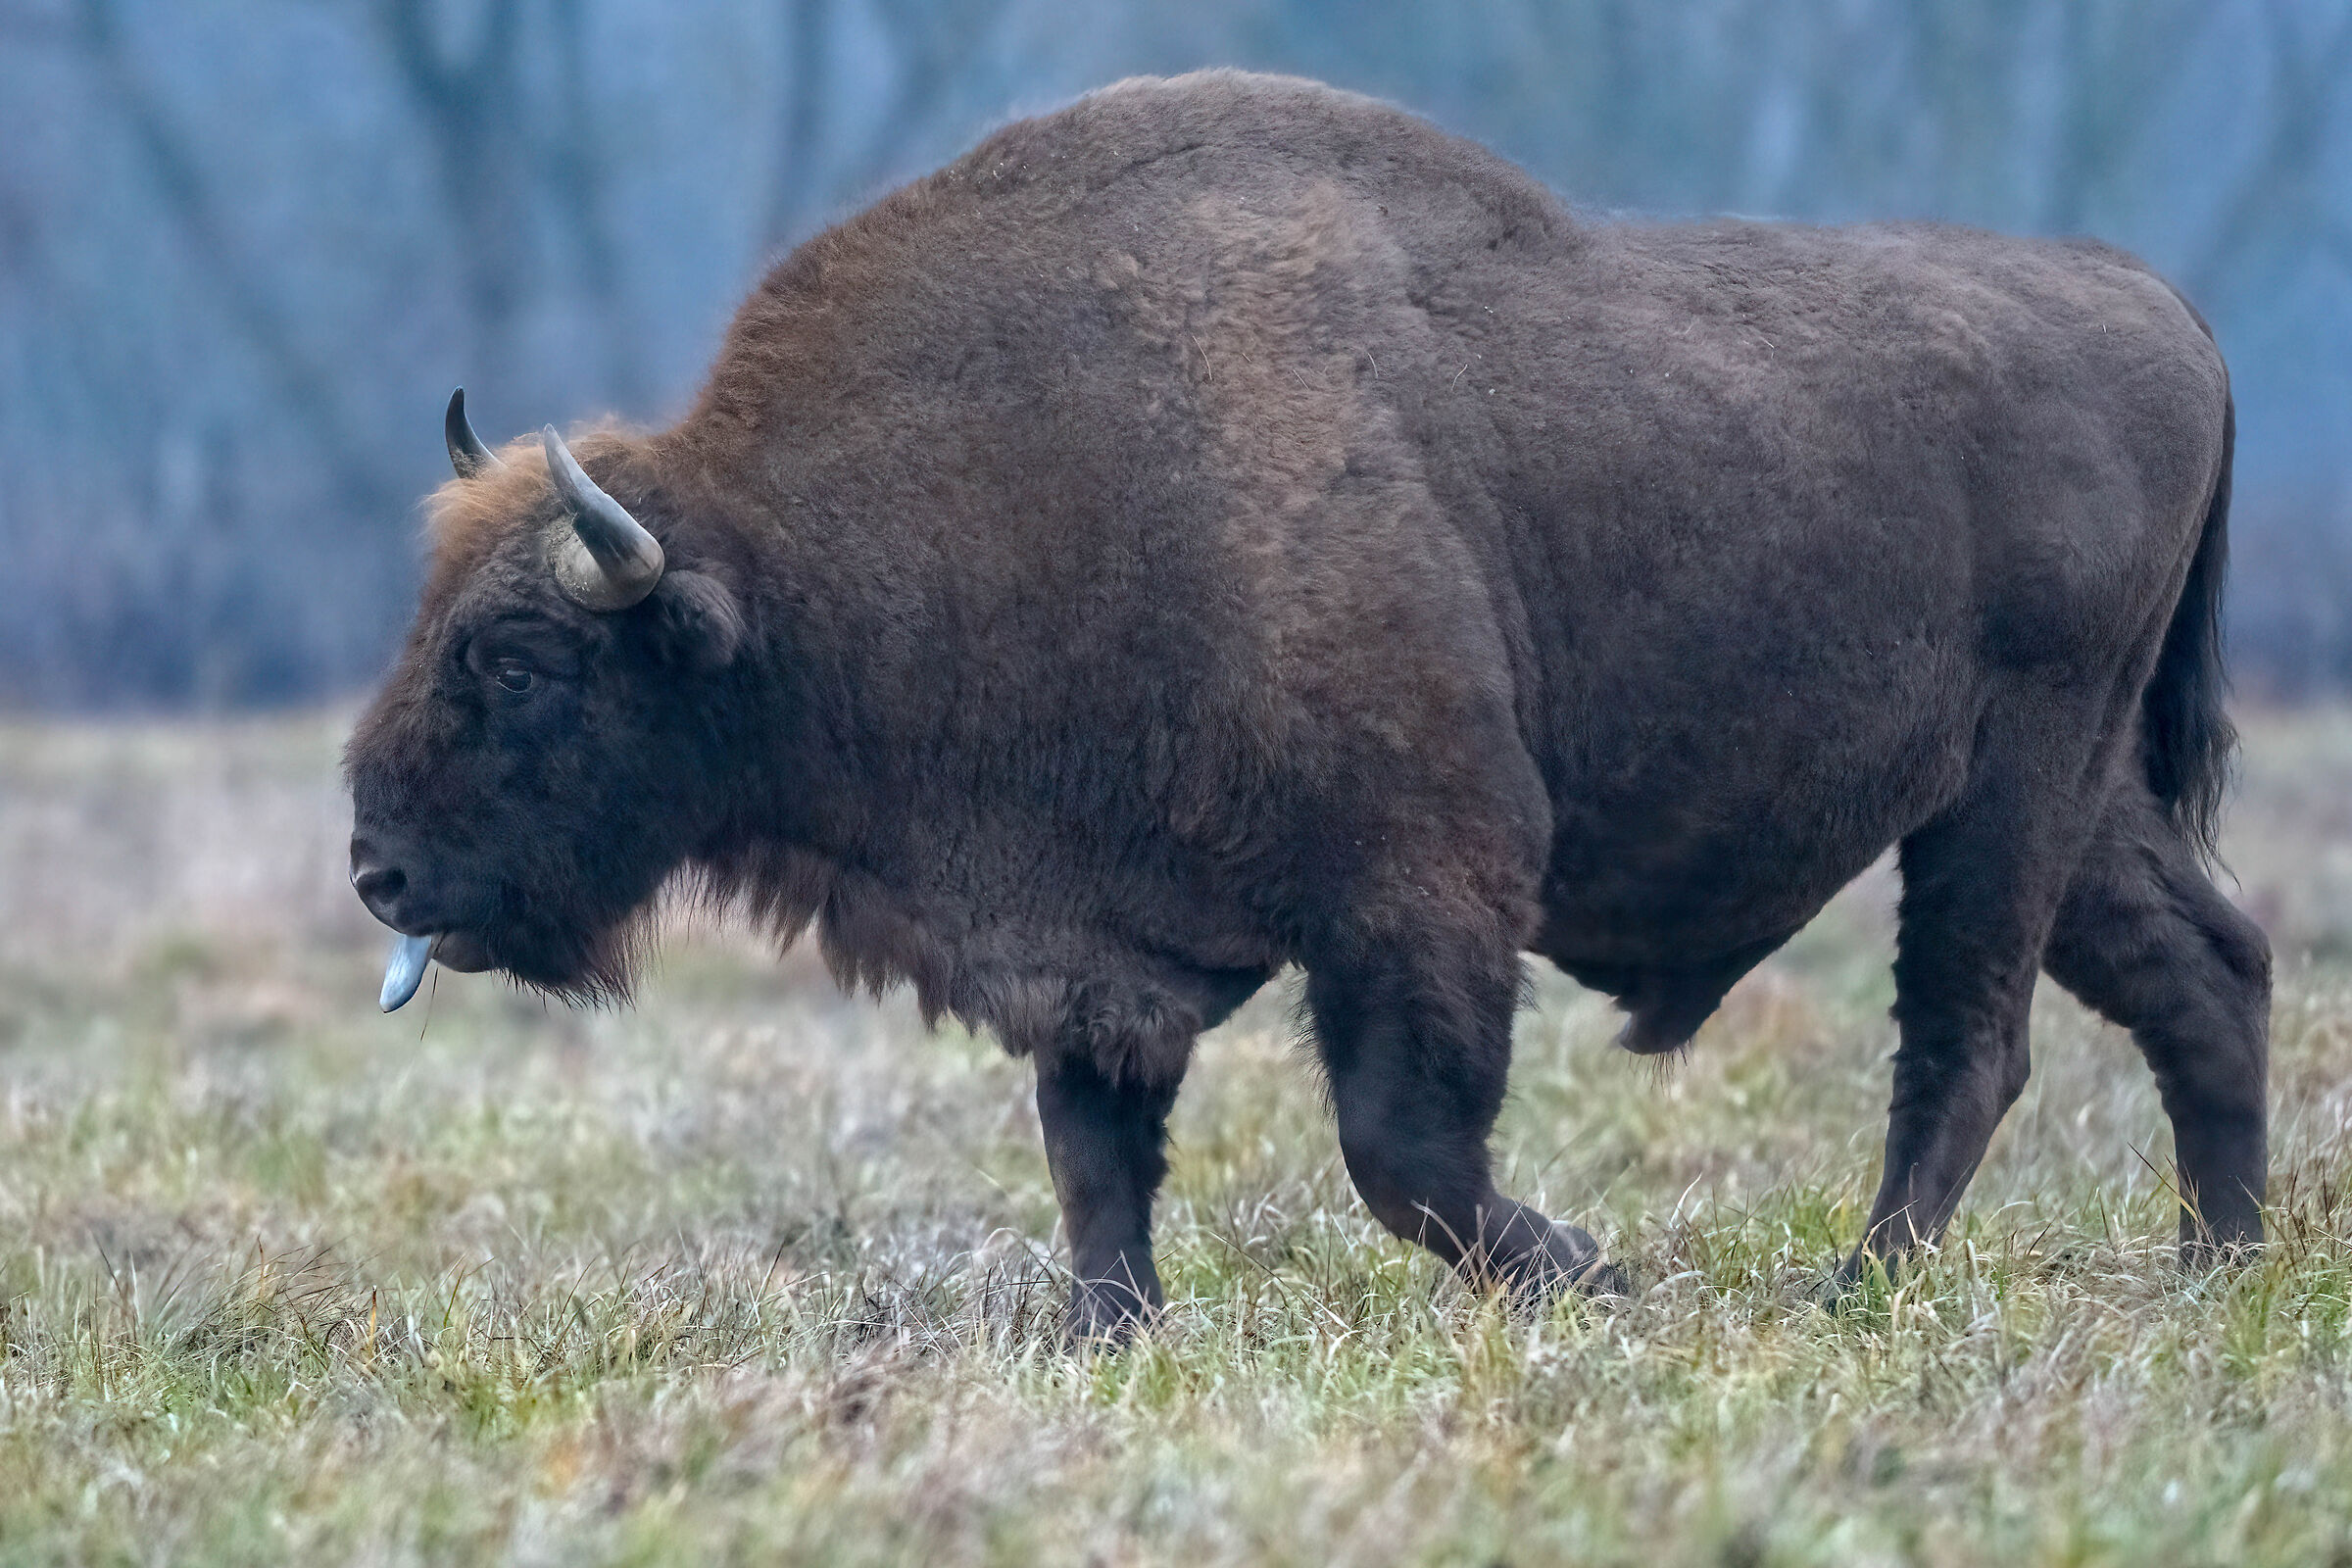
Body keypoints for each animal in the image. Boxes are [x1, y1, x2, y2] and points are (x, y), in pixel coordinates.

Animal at [347, 71, 2267, 1339]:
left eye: (514, 662)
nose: (377, 868)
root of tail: (2157, 306)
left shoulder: (1423, 893)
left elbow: (1401, 1150)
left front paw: (1600, 1278)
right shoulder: (1098, 953)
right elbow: (1096, 1159)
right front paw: (1110, 1334)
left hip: (2010, 789)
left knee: (1974, 1038)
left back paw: (1861, 1287)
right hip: (2074, 798)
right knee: (2209, 969)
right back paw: (2222, 1264)